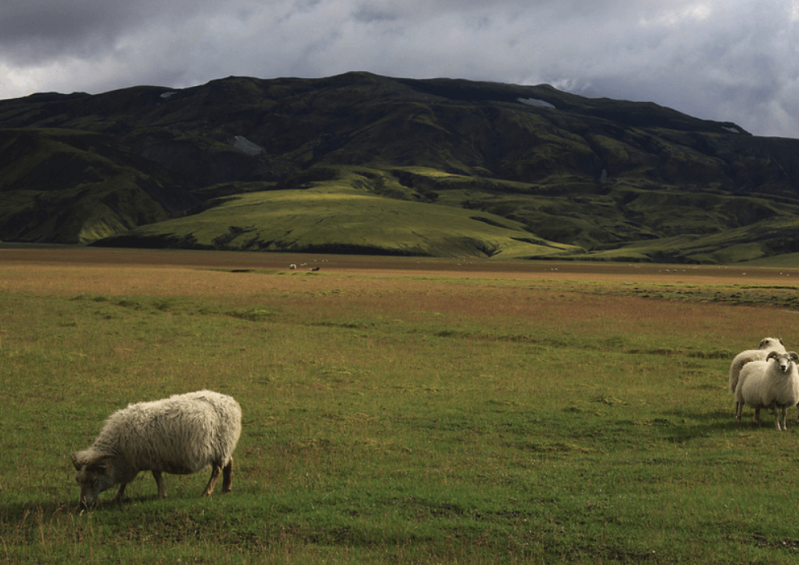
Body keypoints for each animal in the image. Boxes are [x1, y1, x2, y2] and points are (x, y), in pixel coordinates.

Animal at [70, 388, 241, 506]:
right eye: (78, 480)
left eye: (94, 480)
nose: (83, 504)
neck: (119, 449)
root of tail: (231, 401)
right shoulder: (132, 461)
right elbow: (125, 482)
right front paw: (117, 496)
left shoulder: (151, 457)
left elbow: (157, 476)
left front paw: (161, 496)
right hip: (224, 447)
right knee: (229, 463)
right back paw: (226, 489)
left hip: (221, 445)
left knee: (217, 469)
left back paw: (207, 492)